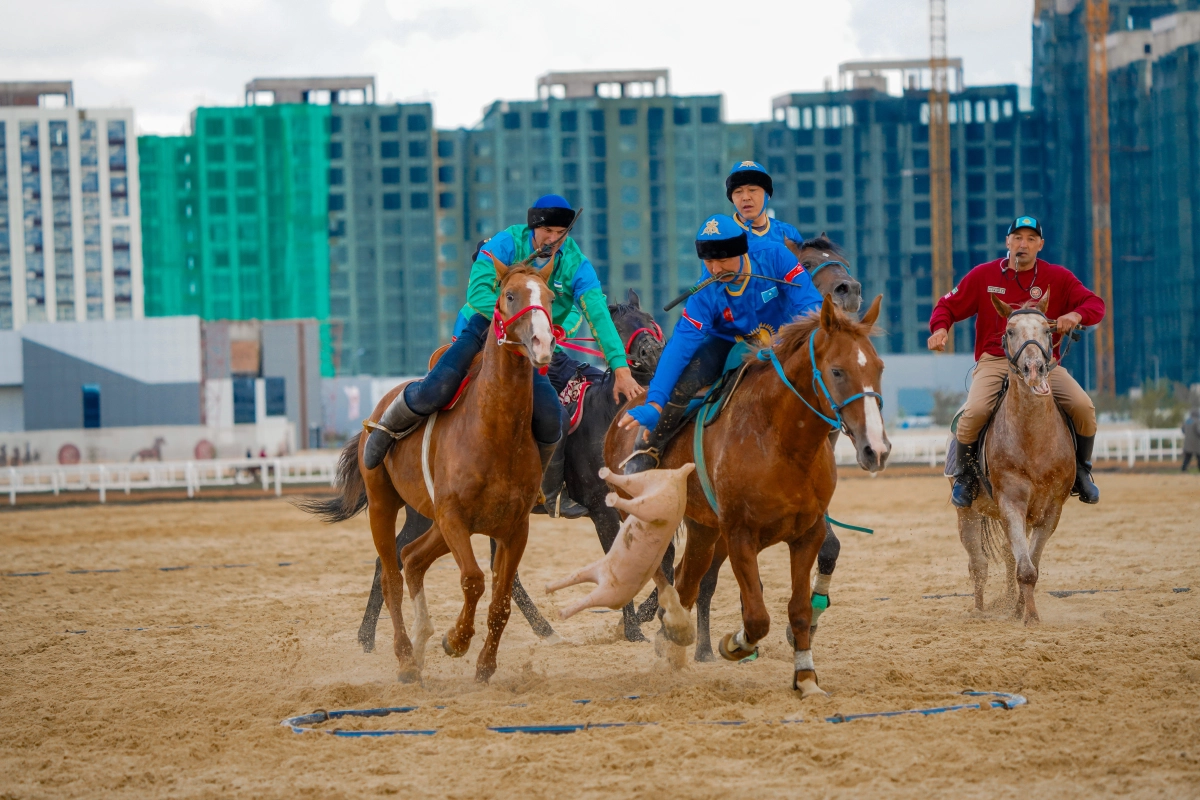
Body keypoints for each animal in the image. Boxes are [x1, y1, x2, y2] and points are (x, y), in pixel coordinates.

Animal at [304, 257, 556, 681]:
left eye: (551, 297)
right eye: (509, 295)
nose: (542, 343)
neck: (494, 432)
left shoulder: (514, 528)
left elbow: (501, 600)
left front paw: (484, 665)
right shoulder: (453, 517)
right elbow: (473, 580)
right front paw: (456, 640)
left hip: (432, 522)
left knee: (412, 559)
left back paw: (421, 643)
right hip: (385, 505)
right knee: (391, 575)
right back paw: (407, 657)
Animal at [350, 291, 672, 652]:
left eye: (649, 319)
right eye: (618, 326)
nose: (653, 353)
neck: (610, 416)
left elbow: (667, 555)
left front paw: (650, 617)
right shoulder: (602, 509)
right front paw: (633, 629)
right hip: (426, 512)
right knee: (392, 557)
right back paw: (367, 637)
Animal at [604, 293, 888, 695]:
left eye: (879, 367)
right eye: (836, 371)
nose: (875, 449)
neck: (781, 441)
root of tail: (624, 415)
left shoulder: (808, 533)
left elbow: (799, 610)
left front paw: (806, 678)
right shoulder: (740, 534)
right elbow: (756, 617)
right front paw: (735, 644)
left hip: (704, 529)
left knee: (687, 581)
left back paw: (673, 645)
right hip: (643, 517)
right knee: (661, 571)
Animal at [955, 293, 1080, 623]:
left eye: (1048, 330)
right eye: (1010, 331)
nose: (1034, 368)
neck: (1033, 439)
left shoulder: (1051, 511)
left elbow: (1030, 564)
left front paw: (1024, 610)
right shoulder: (1011, 502)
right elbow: (1026, 569)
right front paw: (1030, 617)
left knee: (1009, 556)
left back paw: (1013, 604)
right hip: (968, 515)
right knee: (978, 566)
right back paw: (979, 610)